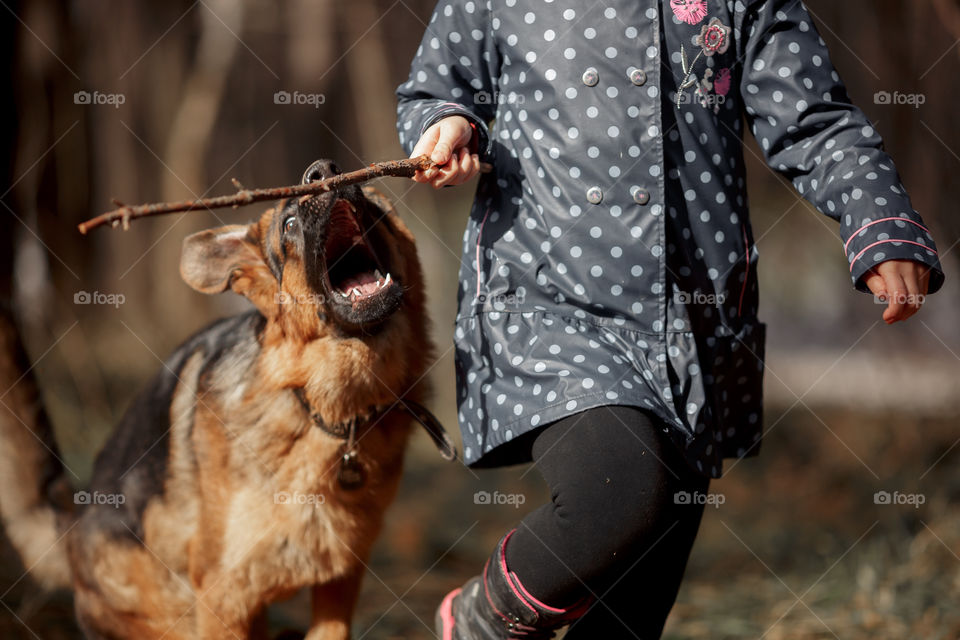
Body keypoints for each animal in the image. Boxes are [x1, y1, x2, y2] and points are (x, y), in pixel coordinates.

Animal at [0, 158, 454, 636]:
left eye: (370, 201)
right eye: (289, 223)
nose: (324, 170)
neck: (321, 409)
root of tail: (71, 532)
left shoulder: (339, 583)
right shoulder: (225, 596)